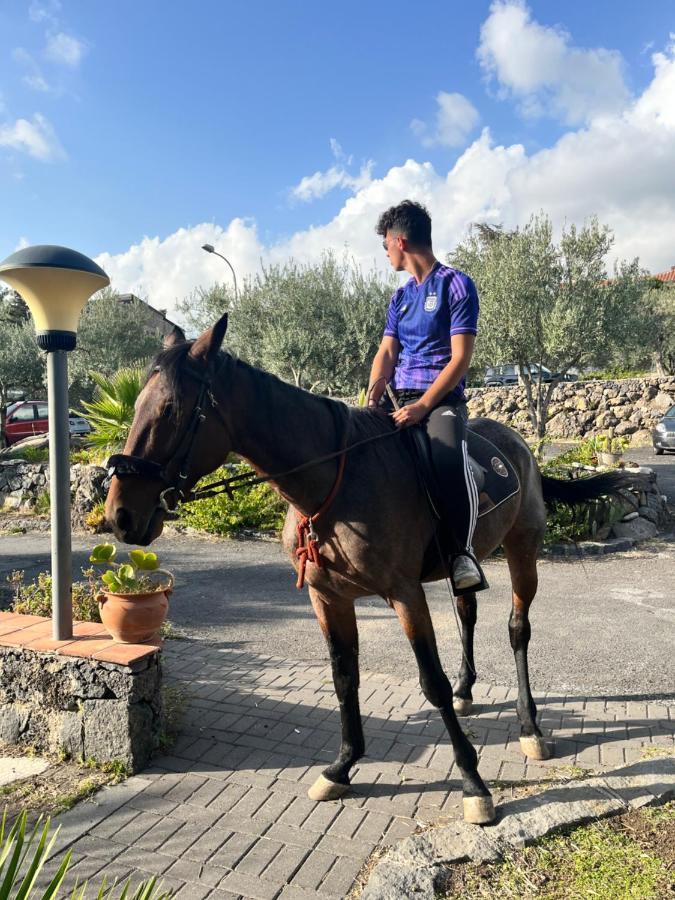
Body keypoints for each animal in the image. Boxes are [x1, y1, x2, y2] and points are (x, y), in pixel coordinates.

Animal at [105, 314, 640, 824]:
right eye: (136, 405)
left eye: (170, 410)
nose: (120, 515)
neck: (334, 483)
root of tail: (519, 445)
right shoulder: (327, 598)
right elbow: (345, 678)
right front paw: (342, 767)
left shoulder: (405, 594)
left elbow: (430, 682)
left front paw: (473, 784)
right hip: (464, 565)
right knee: (467, 613)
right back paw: (469, 691)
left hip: (522, 549)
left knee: (517, 629)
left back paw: (530, 727)